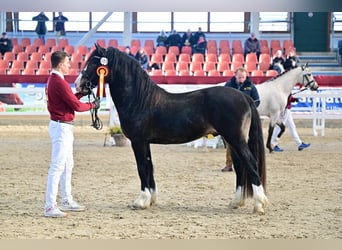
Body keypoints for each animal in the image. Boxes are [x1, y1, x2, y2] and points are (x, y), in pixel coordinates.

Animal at [74, 44, 268, 214]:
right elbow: (149, 167)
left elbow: (142, 167)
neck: (140, 99)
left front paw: (141, 201)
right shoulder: (145, 142)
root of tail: (244, 96)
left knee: (250, 163)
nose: (78, 84)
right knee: (240, 166)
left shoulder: (138, 141)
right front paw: (151, 199)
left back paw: (259, 204)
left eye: (93, 62)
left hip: (236, 139)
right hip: (231, 141)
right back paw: (236, 202)